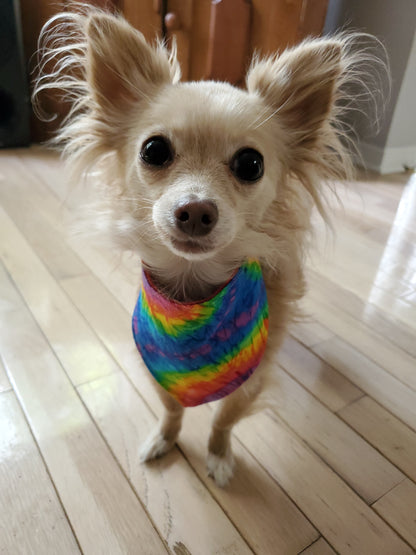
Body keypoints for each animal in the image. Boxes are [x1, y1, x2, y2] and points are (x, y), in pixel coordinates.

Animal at [35, 7, 380, 486]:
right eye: (154, 150)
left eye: (251, 164)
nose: (196, 210)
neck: (193, 293)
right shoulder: (156, 367)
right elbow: (172, 410)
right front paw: (164, 439)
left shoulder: (251, 380)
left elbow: (223, 419)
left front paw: (217, 455)